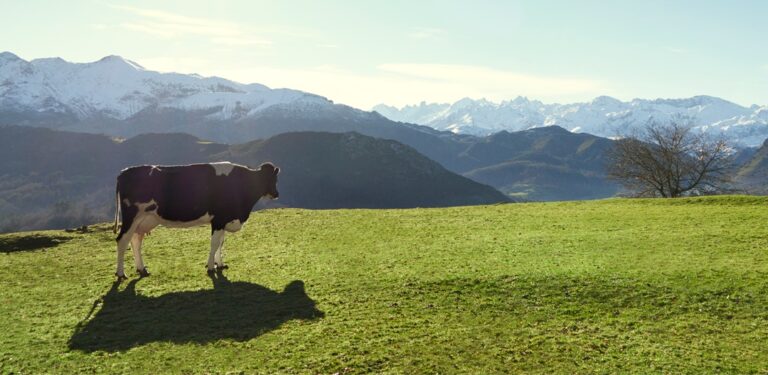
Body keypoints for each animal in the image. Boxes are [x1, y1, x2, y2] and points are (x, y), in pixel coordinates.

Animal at [112, 160, 280, 280]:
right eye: (272, 179)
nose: (276, 194)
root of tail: (124, 172)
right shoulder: (218, 220)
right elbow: (214, 243)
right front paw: (211, 267)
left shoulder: (224, 219)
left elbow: (221, 242)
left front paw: (220, 264)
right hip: (132, 216)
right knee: (122, 240)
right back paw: (121, 273)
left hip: (145, 219)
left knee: (135, 240)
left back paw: (142, 269)